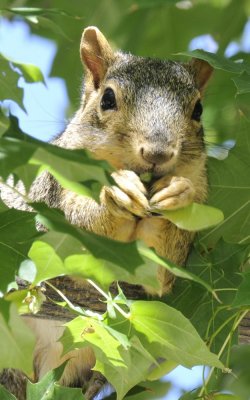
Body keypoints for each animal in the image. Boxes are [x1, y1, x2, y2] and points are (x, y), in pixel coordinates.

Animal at [0, 26, 213, 398]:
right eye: (108, 99)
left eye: (198, 109)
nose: (157, 153)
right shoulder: (47, 198)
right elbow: (76, 222)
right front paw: (116, 192)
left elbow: (160, 272)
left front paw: (179, 194)